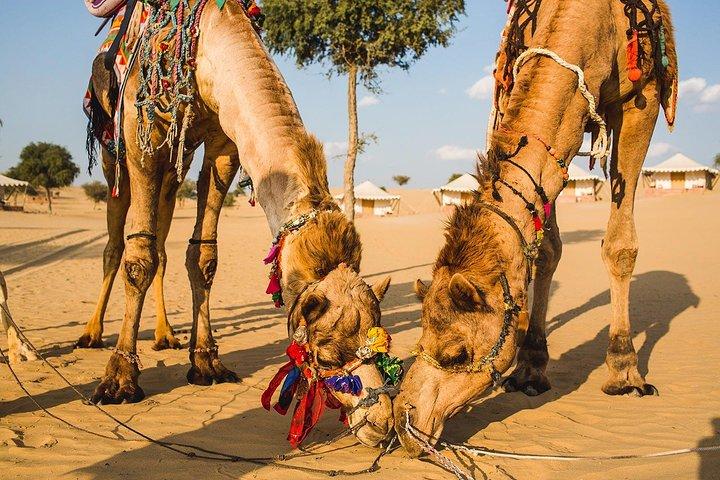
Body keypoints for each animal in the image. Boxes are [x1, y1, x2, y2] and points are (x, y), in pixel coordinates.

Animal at [84, 1, 393, 447]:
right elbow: (137, 257)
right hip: (113, 151)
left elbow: (203, 257)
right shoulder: (143, 133)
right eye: (326, 351)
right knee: (117, 241)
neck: (211, 45)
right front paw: (120, 379)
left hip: (173, 169)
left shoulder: (223, 143)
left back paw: (165, 336)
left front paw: (206, 362)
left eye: (382, 337)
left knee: (163, 238)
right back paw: (91, 334)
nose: (382, 423)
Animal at [395, 0, 678, 455]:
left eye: (457, 353)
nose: (404, 421)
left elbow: (619, 245)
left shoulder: (642, 100)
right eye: (418, 341)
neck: (590, 23)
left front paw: (624, 372)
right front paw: (530, 368)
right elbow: (544, 247)